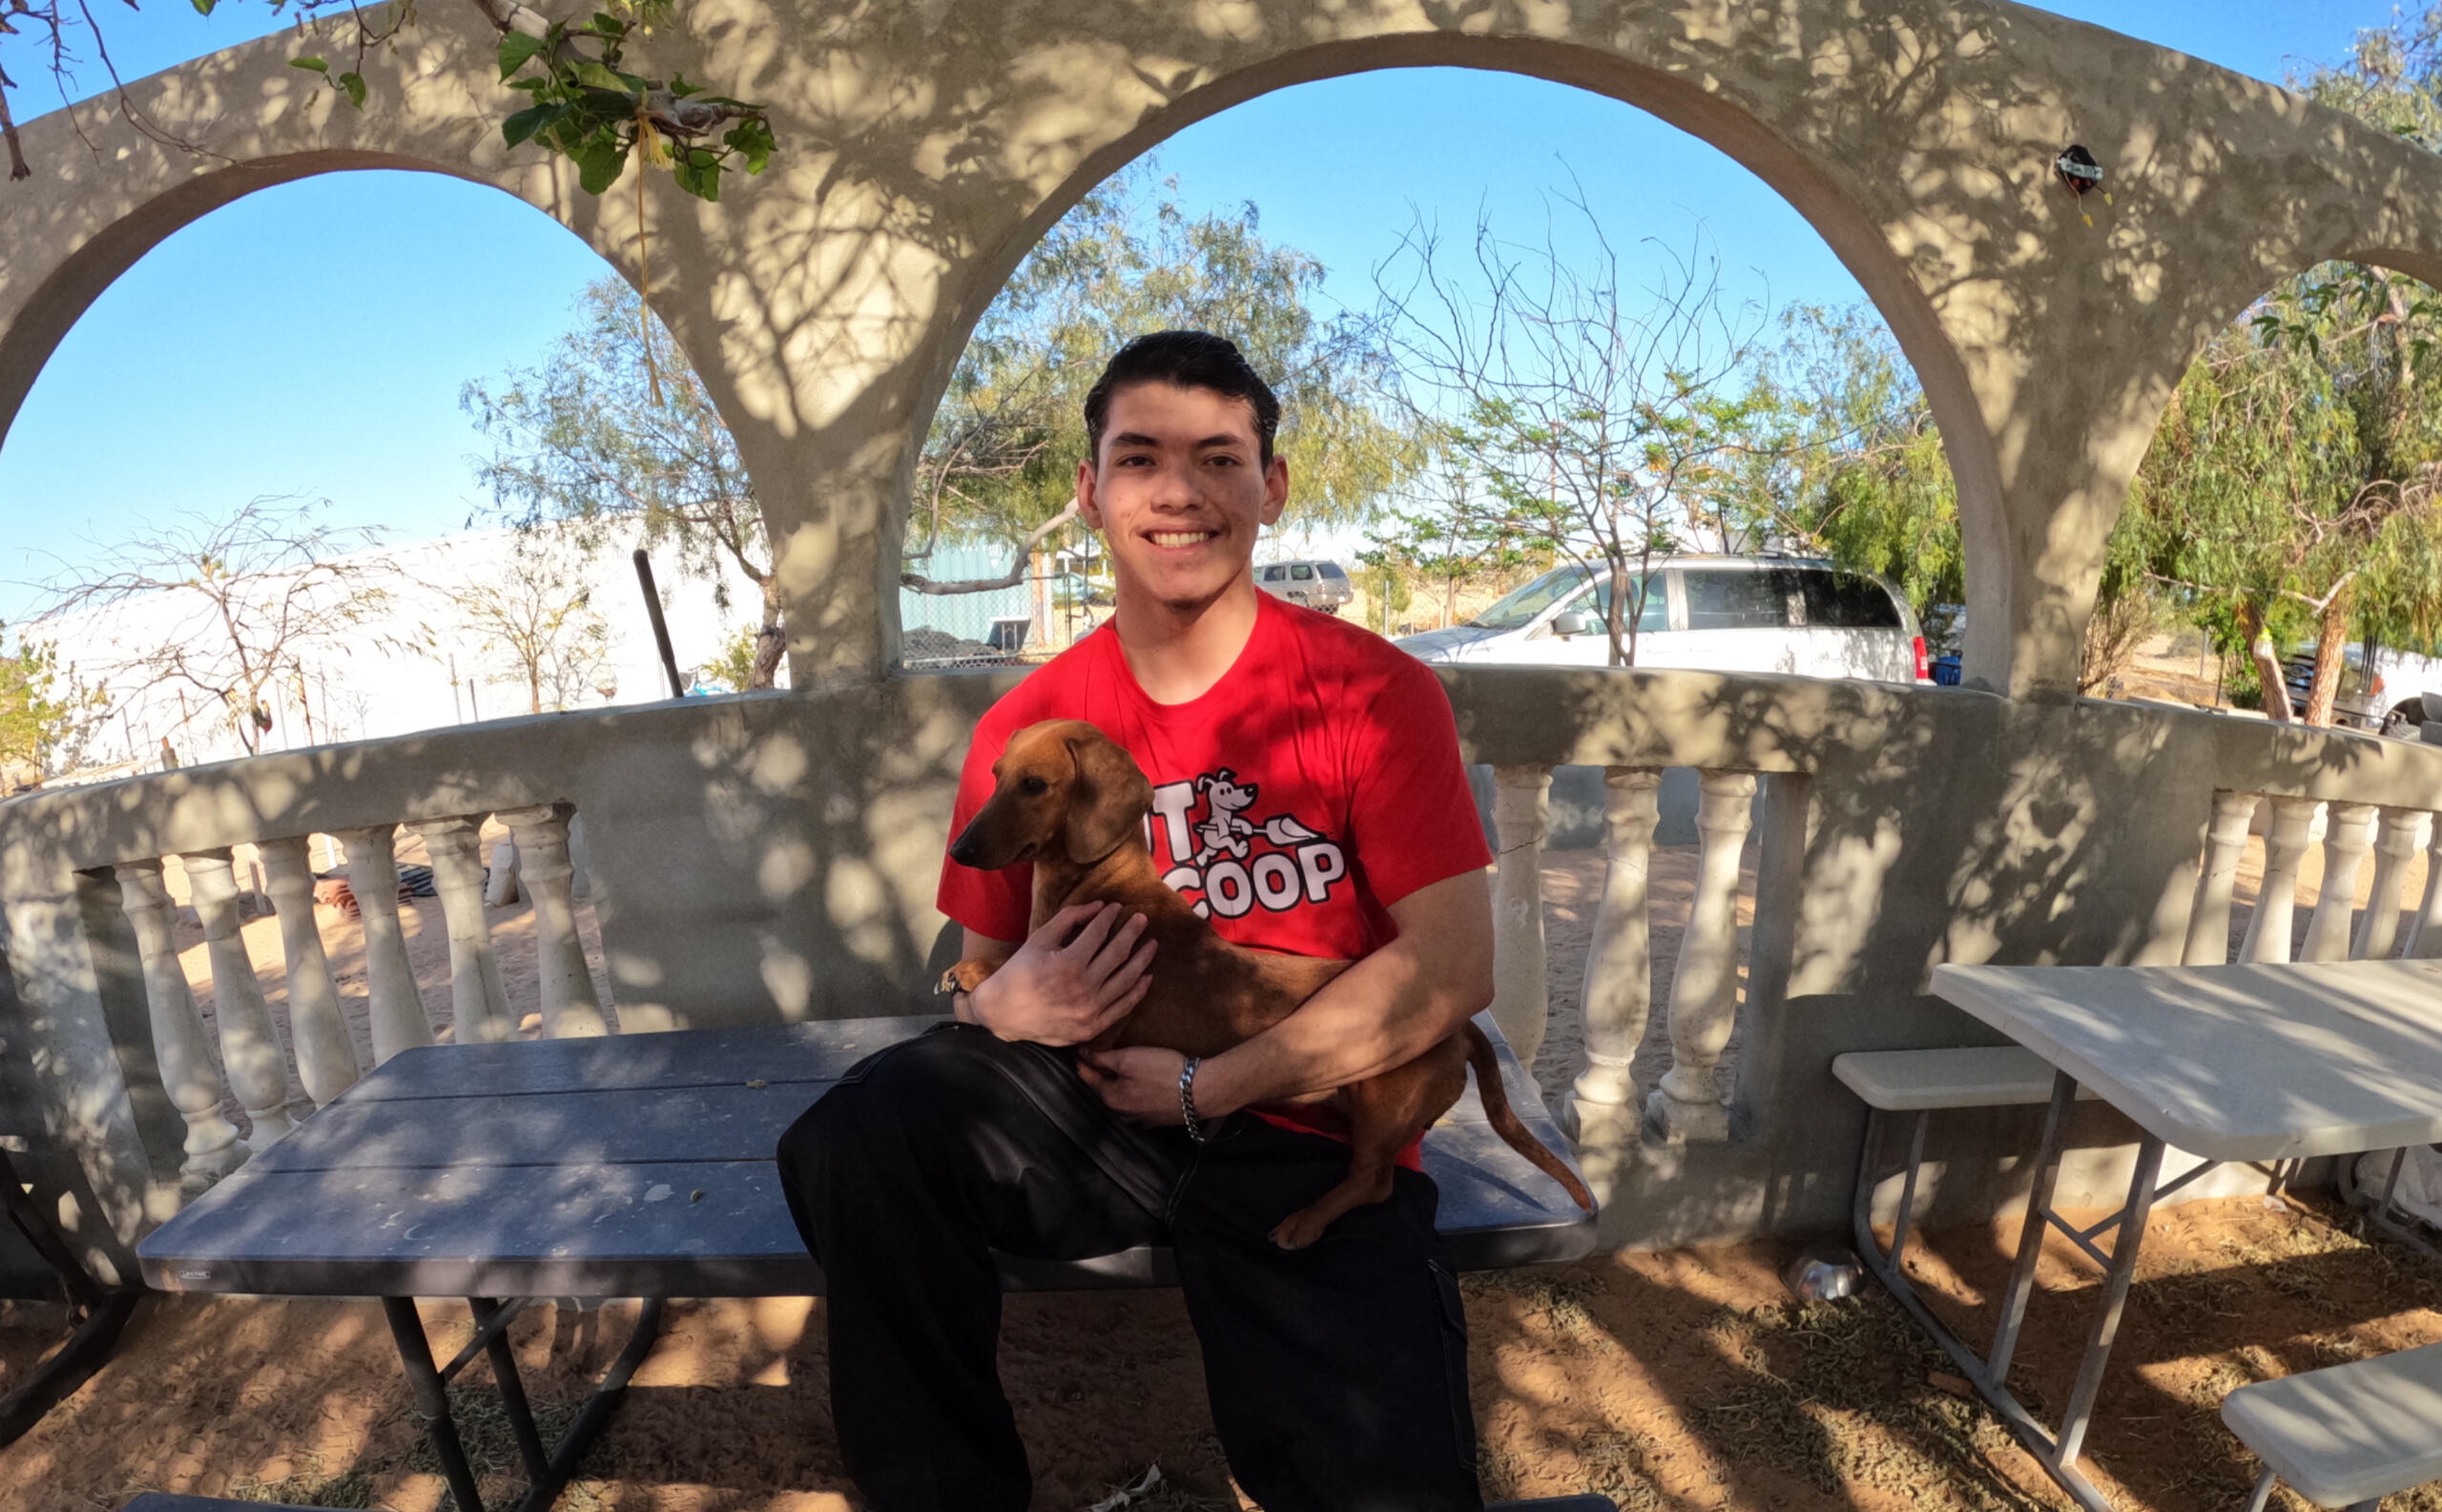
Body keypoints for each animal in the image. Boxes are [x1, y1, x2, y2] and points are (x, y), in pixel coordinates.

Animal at [944, 718, 1594, 1249]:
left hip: (1381, 1107)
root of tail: (1461, 1028)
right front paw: (978, 970)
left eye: (1034, 785)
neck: (1097, 882)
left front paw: (981, 971)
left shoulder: (1094, 1029)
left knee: (1373, 1180)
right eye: (997, 776)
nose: (961, 850)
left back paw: (1304, 1221)